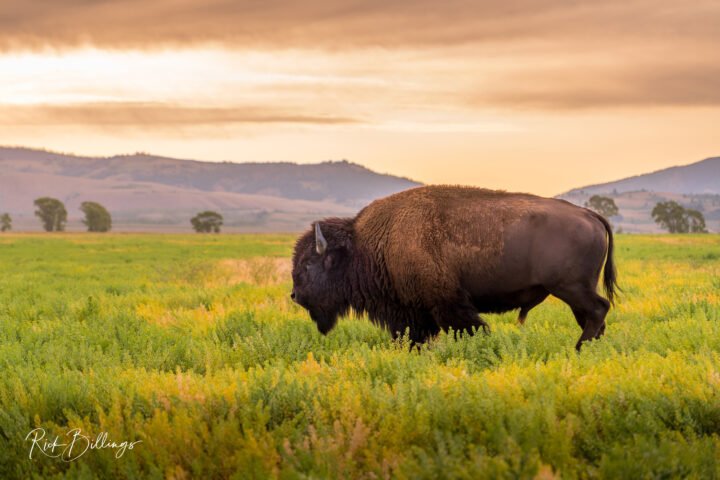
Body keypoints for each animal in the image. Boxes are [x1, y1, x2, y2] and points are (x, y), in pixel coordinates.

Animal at [291, 185, 617, 350]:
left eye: (308, 264)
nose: (294, 295)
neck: (370, 243)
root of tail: (589, 214)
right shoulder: (412, 312)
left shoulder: (446, 303)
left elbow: (469, 327)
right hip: (574, 290)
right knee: (592, 316)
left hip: (570, 287)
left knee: (598, 309)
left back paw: (580, 349)